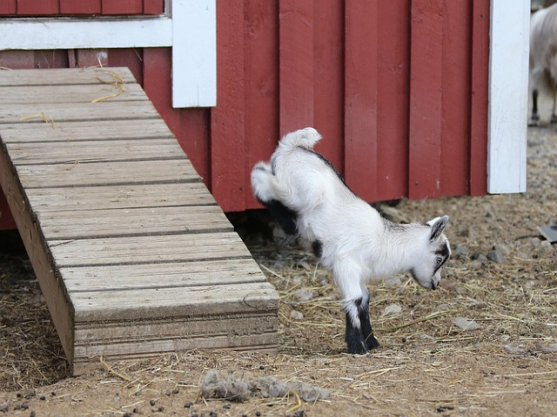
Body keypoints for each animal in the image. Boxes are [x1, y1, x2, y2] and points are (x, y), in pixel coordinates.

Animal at [251, 127, 451, 354]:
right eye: (439, 259)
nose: (436, 284)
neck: (384, 241)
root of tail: (291, 147)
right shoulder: (345, 265)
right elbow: (354, 299)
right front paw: (358, 346)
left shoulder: (358, 273)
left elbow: (364, 298)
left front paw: (371, 342)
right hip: (300, 192)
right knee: (260, 177)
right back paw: (288, 224)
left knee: (262, 170)